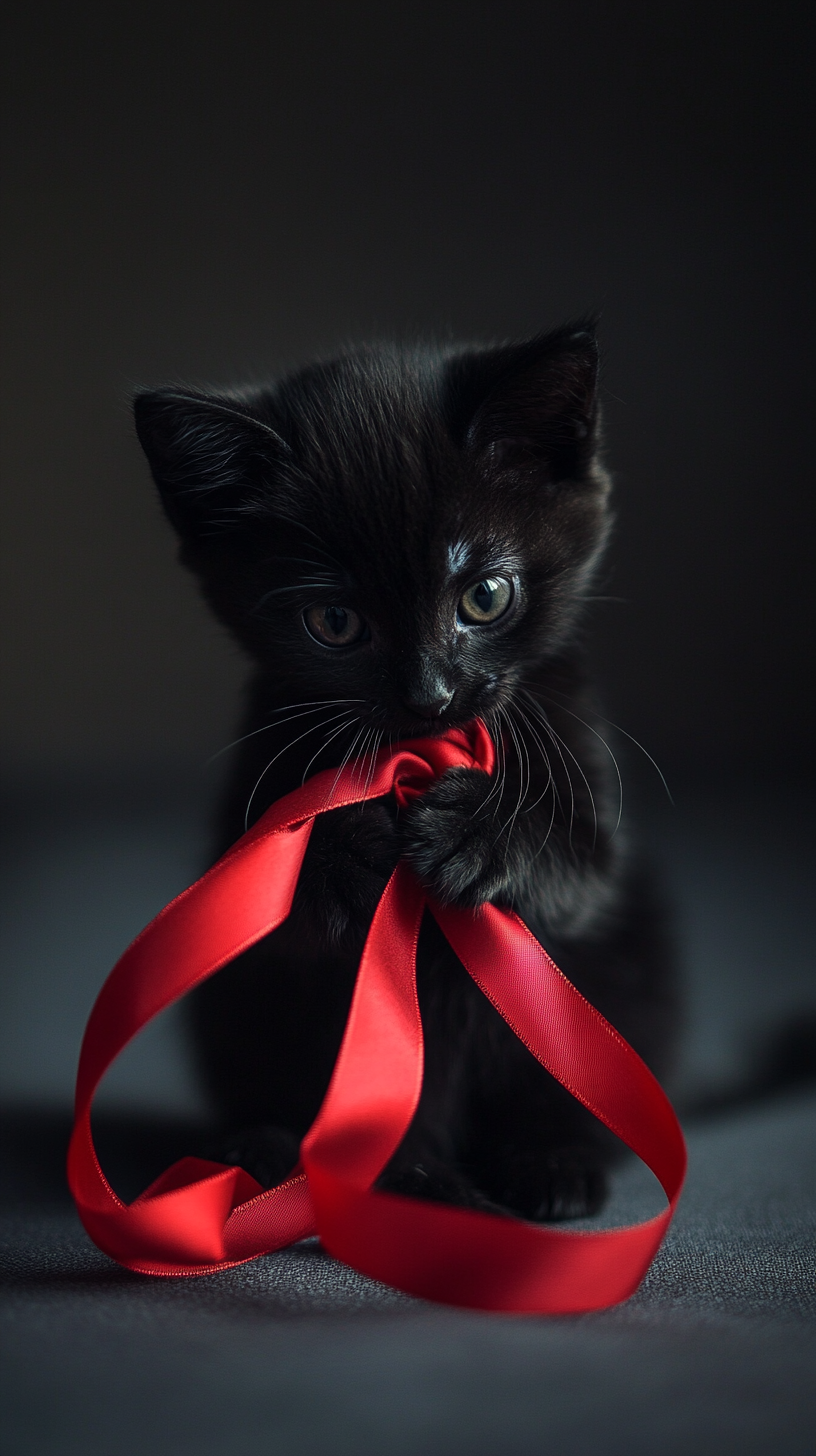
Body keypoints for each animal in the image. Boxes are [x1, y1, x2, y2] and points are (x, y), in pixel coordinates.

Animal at [136, 324, 676, 1223]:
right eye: (335, 622)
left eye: (485, 596)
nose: (431, 694)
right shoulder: (254, 771)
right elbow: (267, 891)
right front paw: (342, 850)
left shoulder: (589, 785)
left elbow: (578, 866)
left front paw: (485, 832)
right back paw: (321, 1160)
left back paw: (548, 1165)